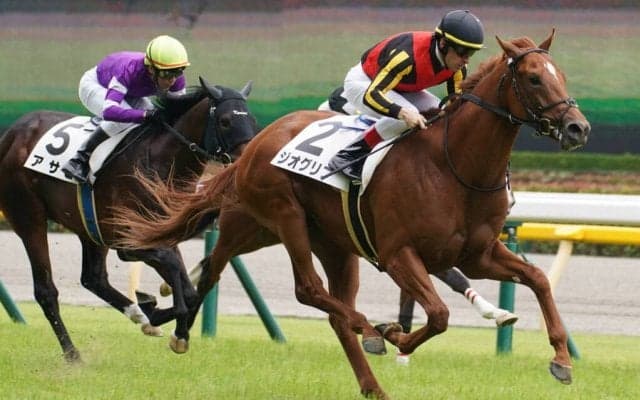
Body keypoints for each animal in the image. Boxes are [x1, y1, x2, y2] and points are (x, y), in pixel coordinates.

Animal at [0, 77, 257, 362]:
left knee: (93, 278)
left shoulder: (161, 232)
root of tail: (12, 133)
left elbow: (188, 290)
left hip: (89, 227)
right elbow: (174, 272)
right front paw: (164, 315)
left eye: (252, 120)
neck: (160, 163)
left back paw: (139, 315)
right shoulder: (128, 242)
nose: (248, 161)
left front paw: (164, 319)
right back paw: (72, 352)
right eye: (225, 121)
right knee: (46, 290)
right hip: (29, 217)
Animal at [112, 32, 590, 398]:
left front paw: (562, 360)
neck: (455, 165)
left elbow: (538, 279)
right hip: (282, 217)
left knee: (242, 278)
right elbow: (438, 314)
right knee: (307, 289)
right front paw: (394, 335)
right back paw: (369, 332)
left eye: (562, 75)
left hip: (316, 242)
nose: (577, 128)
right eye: (533, 78)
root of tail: (255, 144)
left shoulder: (478, 254)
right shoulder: (399, 254)